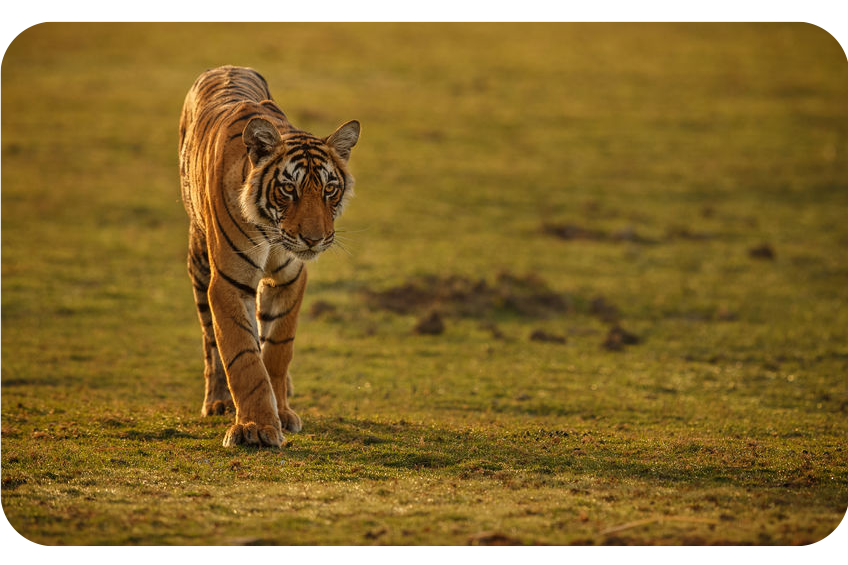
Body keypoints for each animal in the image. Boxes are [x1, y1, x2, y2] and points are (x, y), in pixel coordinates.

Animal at [181, 65, 360, 446]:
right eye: (288, 188)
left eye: (330, 189)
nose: (314, 239)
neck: (272, 231)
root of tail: (226, 66)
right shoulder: (229, 283)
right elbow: (244, 357)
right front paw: (256, 427)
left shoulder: (290, 278)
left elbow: (277, 348)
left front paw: (283, 412)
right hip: (199, 259)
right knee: (210, 340)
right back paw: (217, 401)